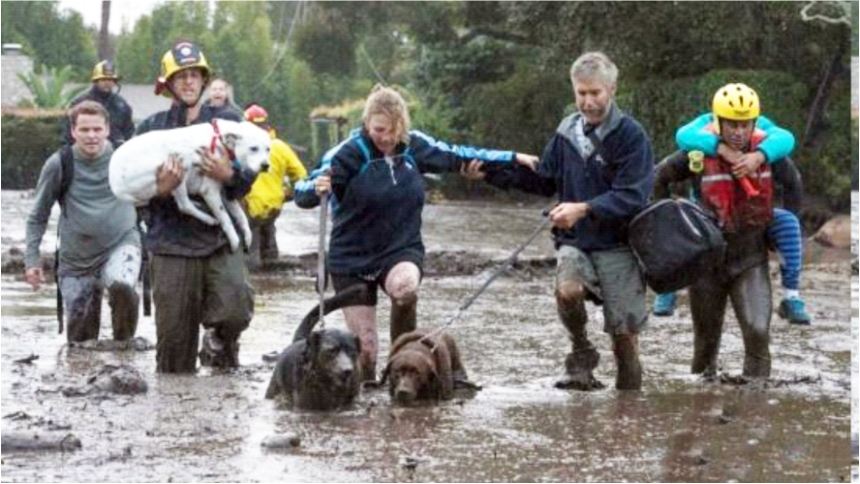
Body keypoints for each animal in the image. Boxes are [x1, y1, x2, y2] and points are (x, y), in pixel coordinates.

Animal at [110, 119, 272, 251]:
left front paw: (247, 235)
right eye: (253, 148)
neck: (220, 139)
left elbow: (240, 215)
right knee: (184, 205)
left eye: (268, 149)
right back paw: (208, 219)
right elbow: (226, 218)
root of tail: (115, 186)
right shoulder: (210, 192)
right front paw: (234, 240)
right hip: (177, 167)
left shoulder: (226, 193)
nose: (265, 166)